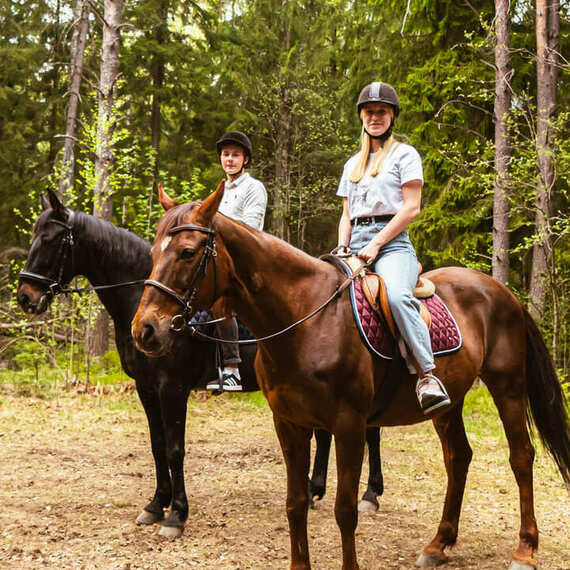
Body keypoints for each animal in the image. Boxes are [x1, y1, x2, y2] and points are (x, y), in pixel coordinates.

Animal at [16, 190, 382, 536]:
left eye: (51, 240)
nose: (25, 297)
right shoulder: (145, 388)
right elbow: (157, 446)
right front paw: (156, 504)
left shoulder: (172, 388)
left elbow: (175, 450)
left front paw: (176, 515)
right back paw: (316, 488)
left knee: (370, 433)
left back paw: (368, 495)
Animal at [131, 183, 564, 568]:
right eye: (151, 252)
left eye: (188, 253)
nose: (145, 330)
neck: (304, 319)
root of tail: (502, 292)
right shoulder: (289, 424)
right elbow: (295, 503)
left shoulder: (349, 425)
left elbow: (345, 510)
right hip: (449, 402)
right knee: (458, 457)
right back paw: (438, 544)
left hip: (508, 387)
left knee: (521, 456)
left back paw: (525, 550)